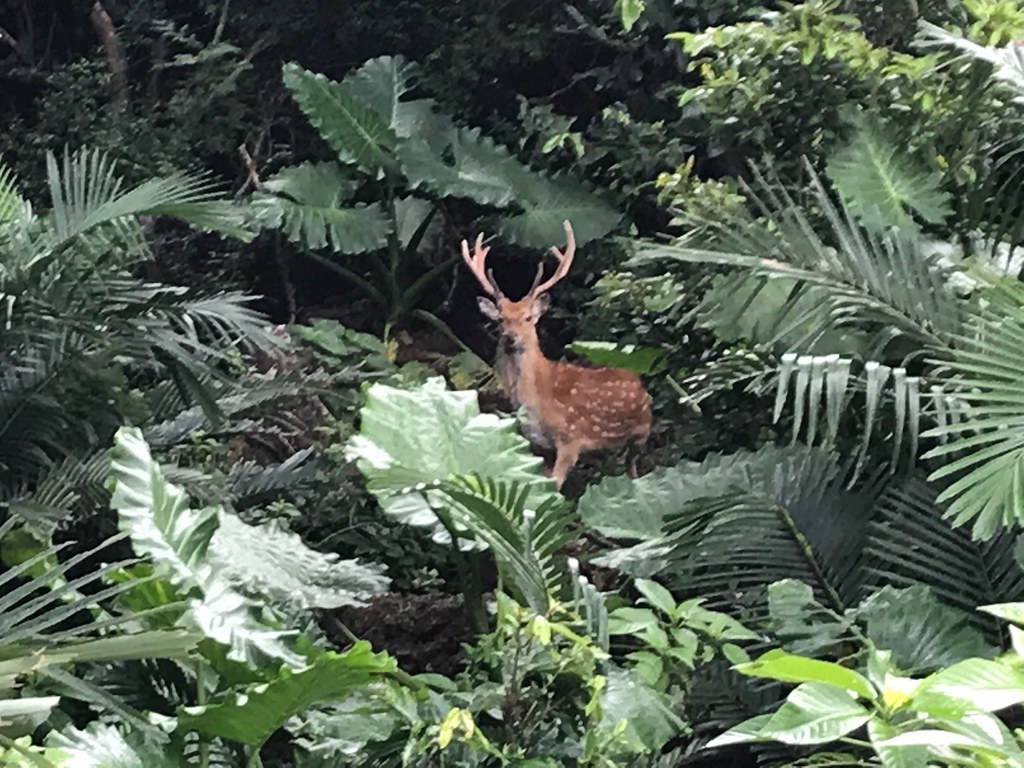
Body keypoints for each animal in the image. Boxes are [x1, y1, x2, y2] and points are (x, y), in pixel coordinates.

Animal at [462, 219, 651, 489]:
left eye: (527, 318)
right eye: (500, 319)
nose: (510, 338)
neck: (536, 402)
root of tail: (638, 381)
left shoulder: (571, 439)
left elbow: (554, 488)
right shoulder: (537, 445)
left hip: (642, 431)